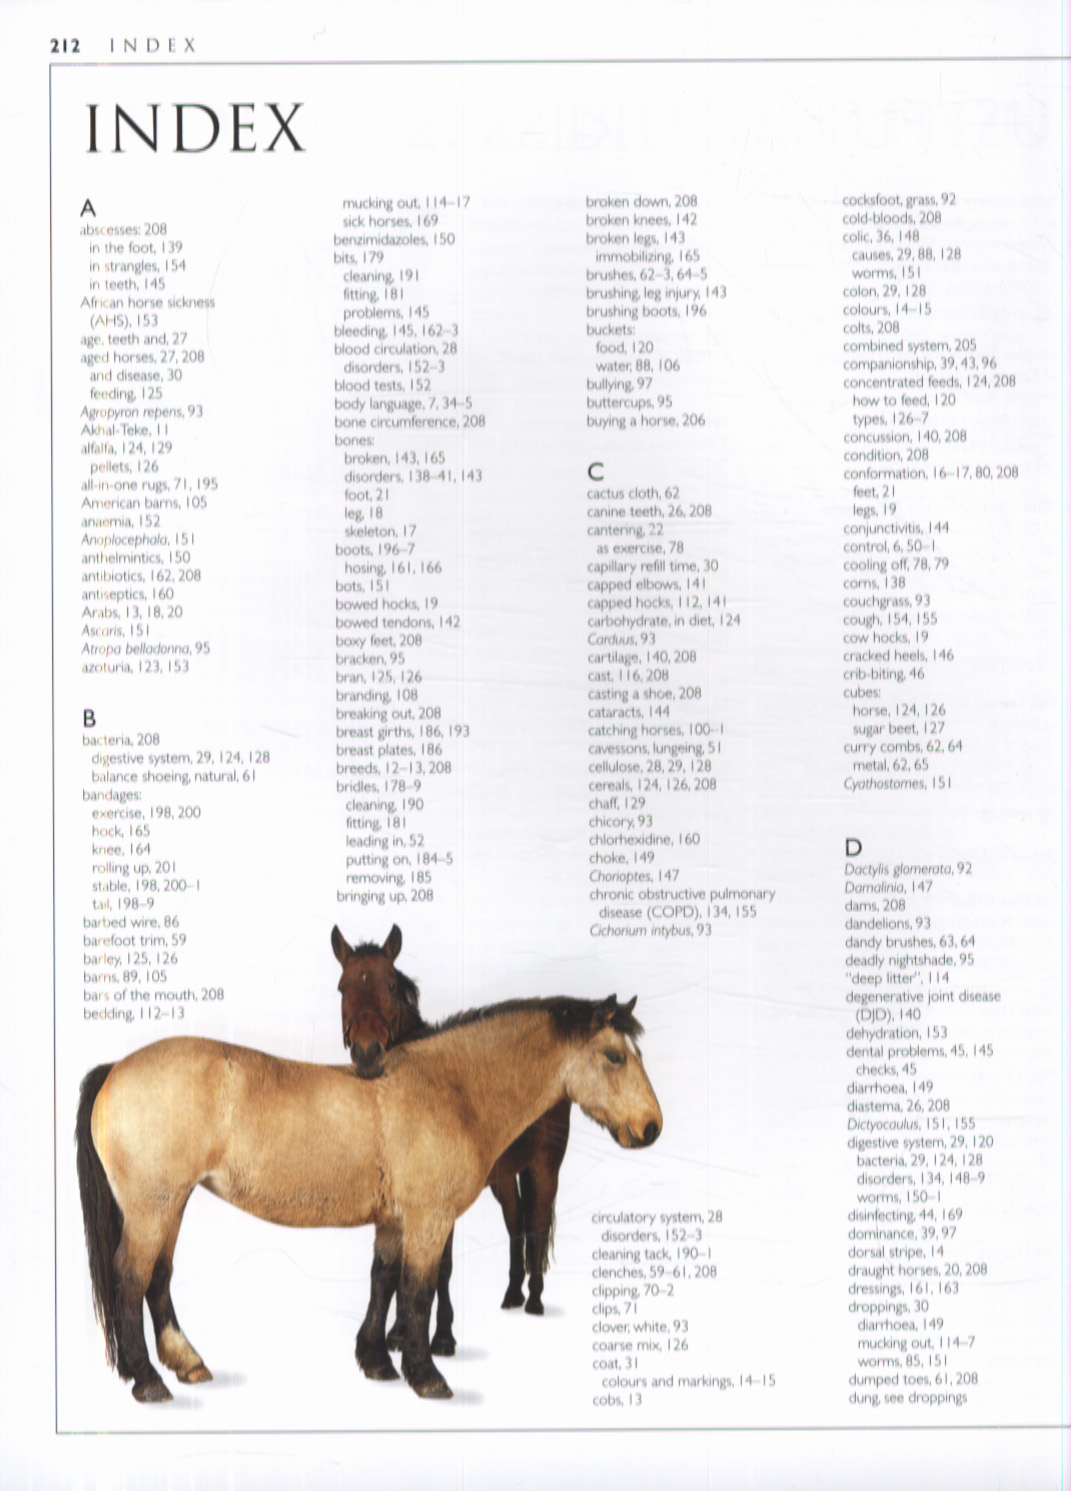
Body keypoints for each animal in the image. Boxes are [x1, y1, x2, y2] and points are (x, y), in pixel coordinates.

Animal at [76, 994, 661, 1403]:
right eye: (614, 1057)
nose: (651, 1127)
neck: (451, 1089)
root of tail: (117, 1068)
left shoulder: (395, 1221)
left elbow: (384, 1281)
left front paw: (377, 1361)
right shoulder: (429, 1220)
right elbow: (418, 1291)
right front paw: (426, 1376)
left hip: (168, 1205)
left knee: (158, 1279)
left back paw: (185, 1363)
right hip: (154, 1206)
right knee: (131, 1276)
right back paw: (148, 1380)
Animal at [333, 925, 573, 1345]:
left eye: (390, 984)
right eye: (343, 987)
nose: (367, 1053)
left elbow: (439, 1265)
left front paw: (441, 1336)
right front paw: (398, 1333)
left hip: (545, 1165)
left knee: (538, 1223)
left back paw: (534, 1300)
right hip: (503, 1176)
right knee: (516, 1223)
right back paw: (513, 1294)